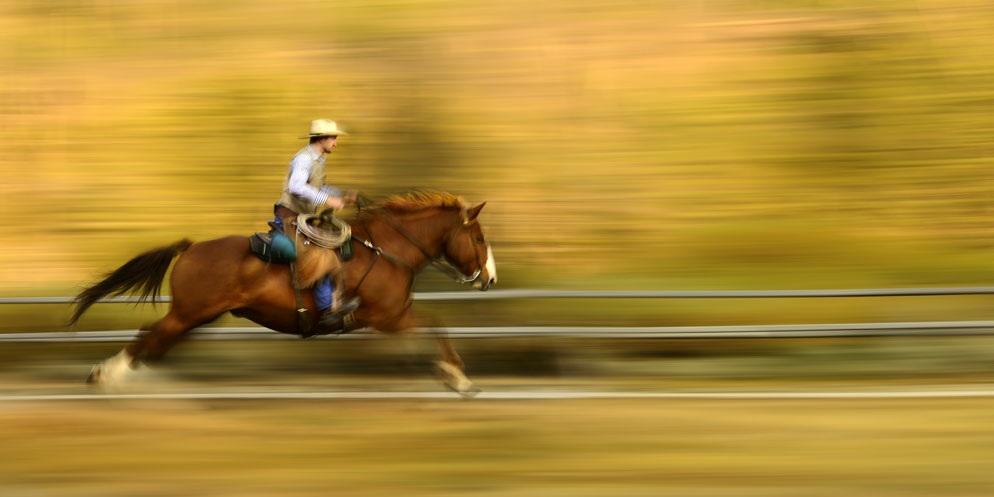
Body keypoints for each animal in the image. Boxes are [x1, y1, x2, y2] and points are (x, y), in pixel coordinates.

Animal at [71, 191, 496, 396]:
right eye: (478, 237)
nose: (489, 279)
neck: (387, 249)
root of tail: (190, 248)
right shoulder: (387, 316)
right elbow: (435, 329)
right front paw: (459, 378)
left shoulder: (394, 316)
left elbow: (433, 329)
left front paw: (450, 375)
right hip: (189, 313)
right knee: (149, 336)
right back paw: (104, 375)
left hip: (197, 317)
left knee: (156, 342)